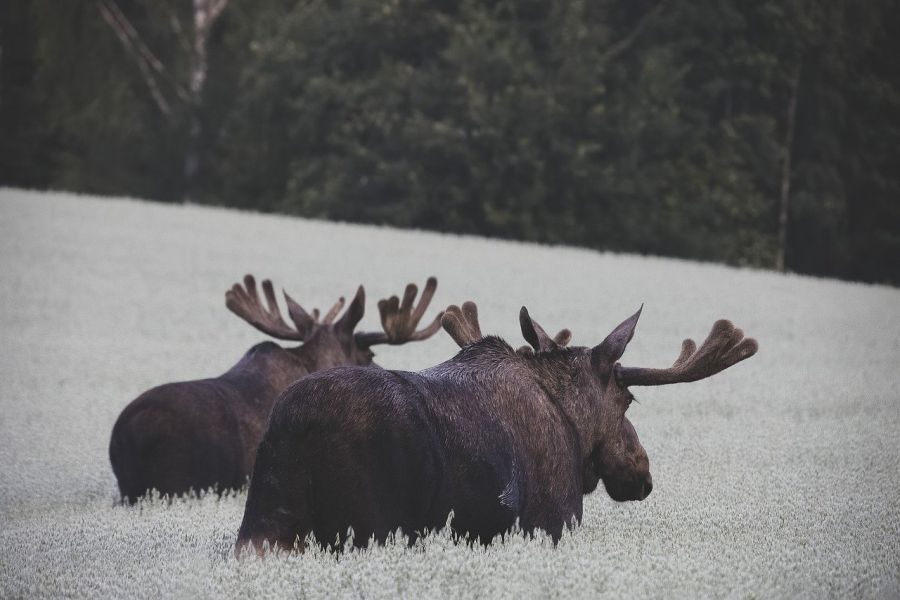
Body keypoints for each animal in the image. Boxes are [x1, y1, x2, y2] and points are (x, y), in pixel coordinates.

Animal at [236, 300, 756, 552]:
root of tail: (296, 429)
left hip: (264, 527)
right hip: (367, 527)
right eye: (628, 399)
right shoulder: (551, 522)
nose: (641, 472)